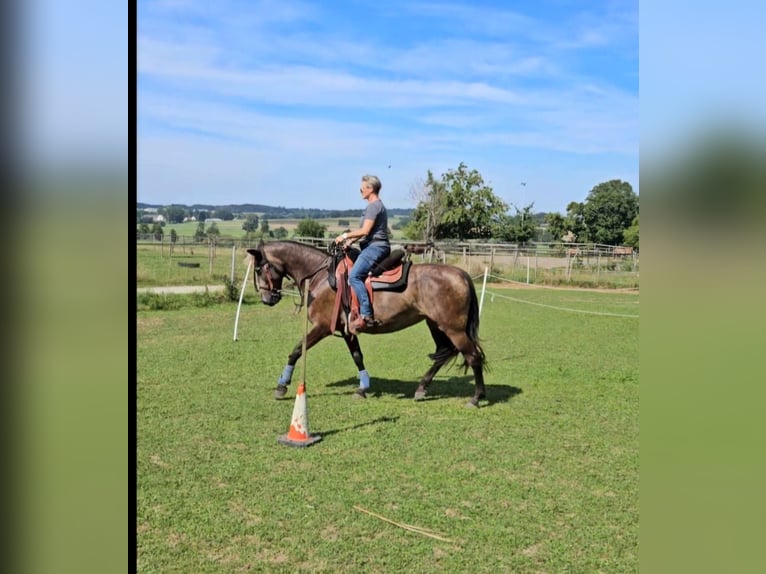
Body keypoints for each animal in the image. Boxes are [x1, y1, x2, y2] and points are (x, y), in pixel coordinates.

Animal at [249, 241, 488, 408]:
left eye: (259, 269)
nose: (267, 299)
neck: (320, 276)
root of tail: (462, 274)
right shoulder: (346, 330)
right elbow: (357, 357)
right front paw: (363, 388)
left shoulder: (322, 327)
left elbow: (296, 351)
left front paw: (282, 386)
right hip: (436, 325)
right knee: (443, 353)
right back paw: (422, 389)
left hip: (453, 329)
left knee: (472, 356)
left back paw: (475, 398)